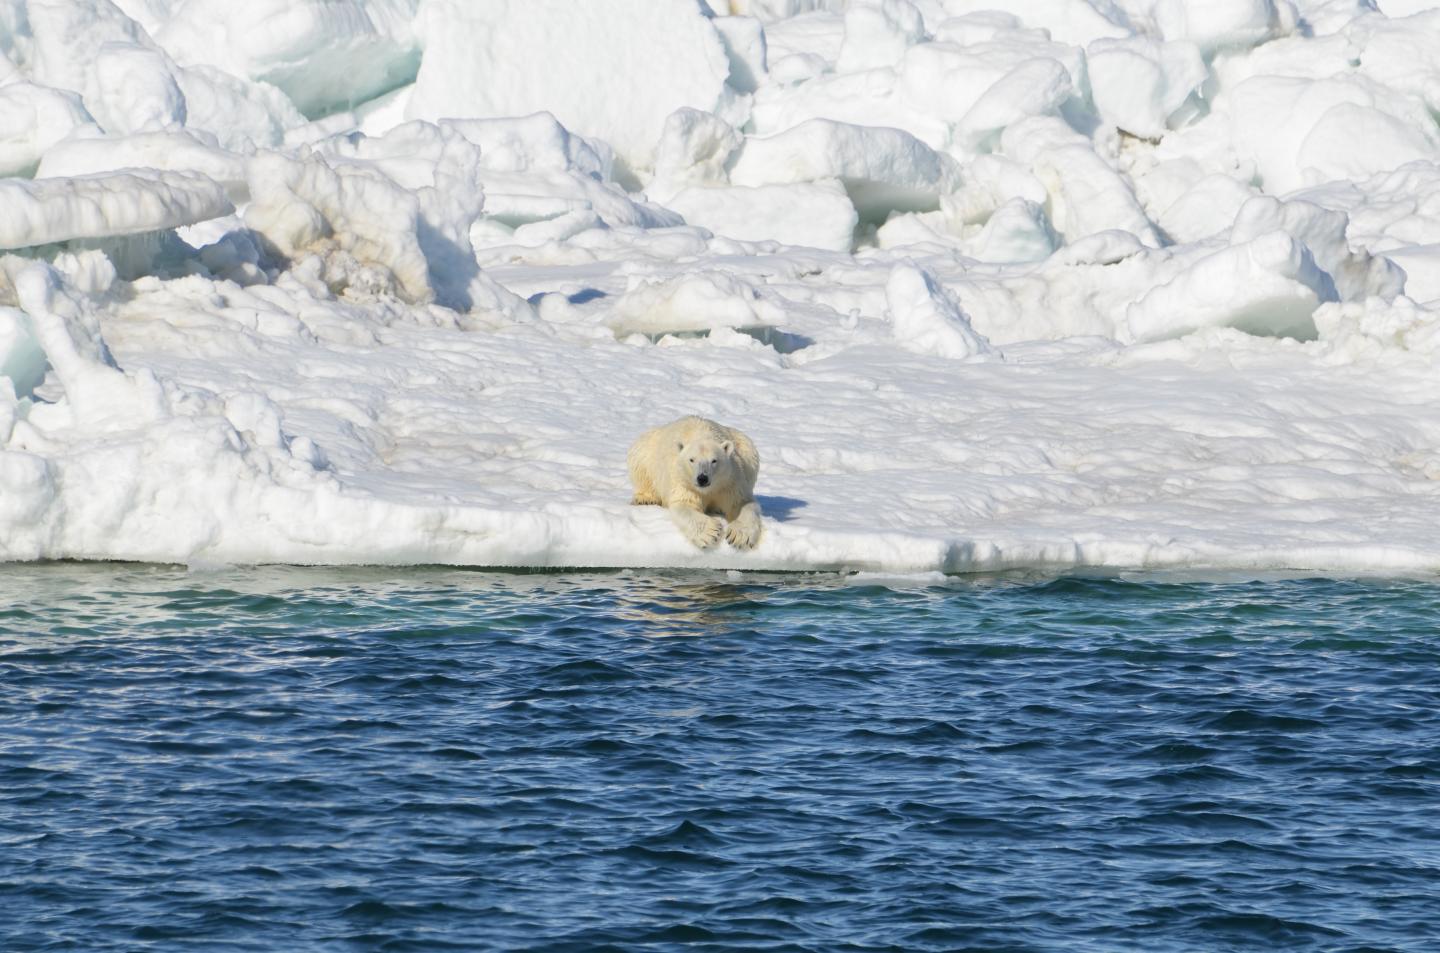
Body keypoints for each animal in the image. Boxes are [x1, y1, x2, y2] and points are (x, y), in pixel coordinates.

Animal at [628, 415, 764, 550]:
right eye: (691, 460)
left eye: (714, 460)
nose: (702, 478)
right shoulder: (684, 482)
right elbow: (685, 504)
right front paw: (710, 532)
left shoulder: (729, 481)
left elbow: (741, 503)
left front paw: (739, 536)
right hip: (648, 449)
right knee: (640, 461)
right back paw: (645, 498)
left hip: (745, 448)